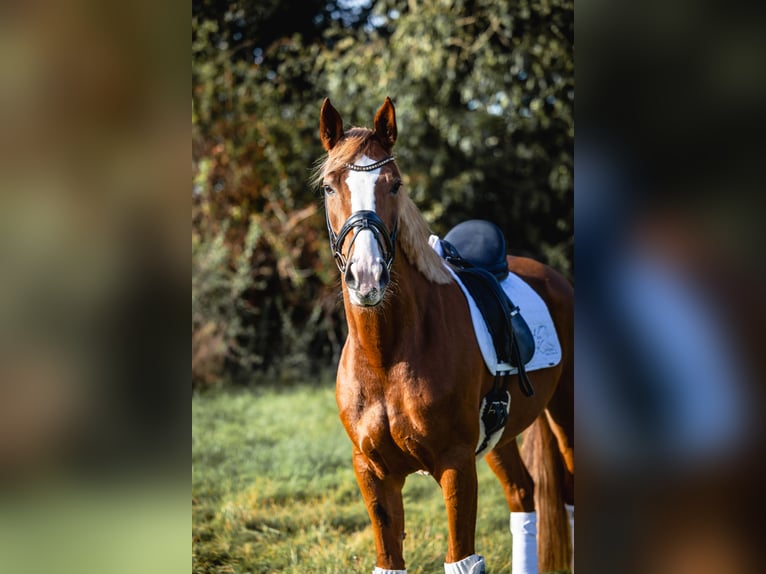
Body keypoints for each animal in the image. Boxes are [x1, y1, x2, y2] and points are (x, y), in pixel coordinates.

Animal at [316, 97, 572, 572]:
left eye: (395, 185)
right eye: (328, 187)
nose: (367, 276)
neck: (388, 357)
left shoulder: (456, 466)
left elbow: (461, 559)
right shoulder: (373, 474)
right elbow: (389, 560)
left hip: (565, 415)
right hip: (500, 438)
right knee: (523, 495)